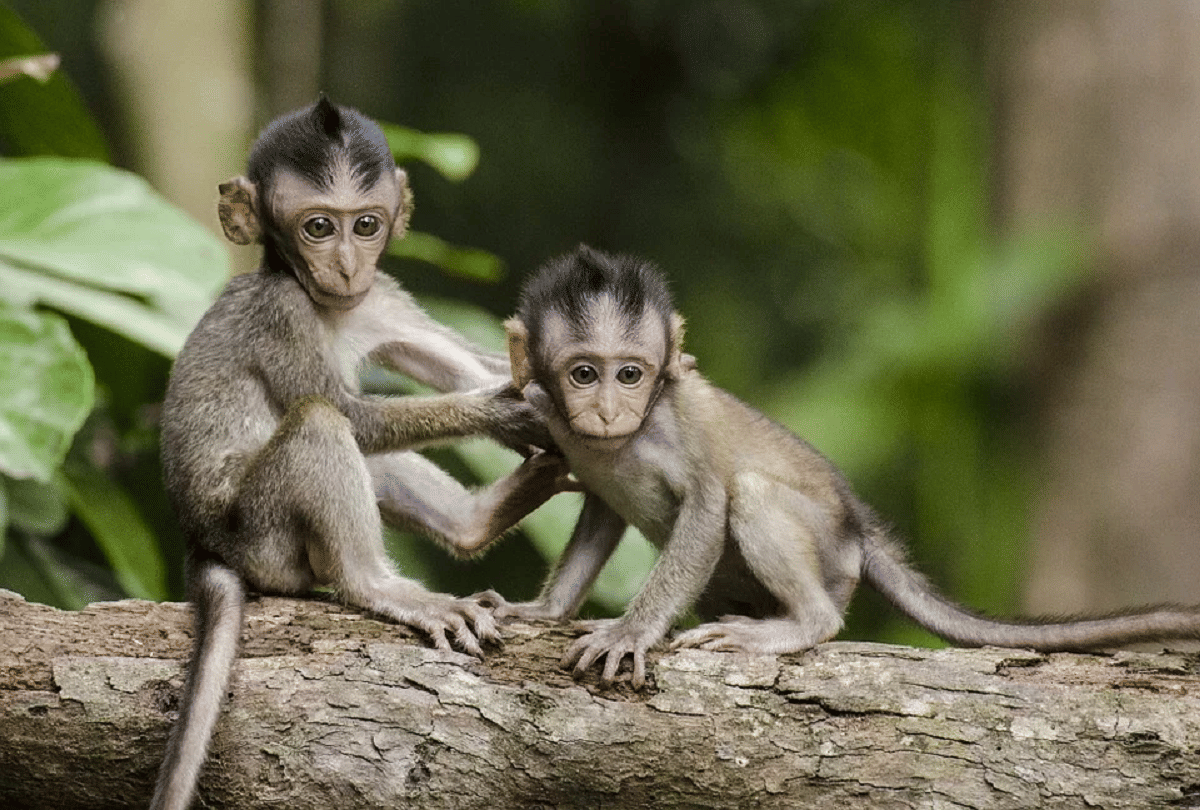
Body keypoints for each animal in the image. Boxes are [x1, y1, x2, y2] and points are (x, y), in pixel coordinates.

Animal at [150, 97, 570, 810]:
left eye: (366, 224)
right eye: (318, 227)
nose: (347, 265)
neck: (327, 305)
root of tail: (202, 543)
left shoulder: (382, 298)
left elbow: (468, 367)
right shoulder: (281, 311)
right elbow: (349, 414)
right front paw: (508, 411)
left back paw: (477, 520)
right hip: (262, 536)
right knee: (321, 425)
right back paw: (378, 585)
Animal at [479, 244, 1200, 690]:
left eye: (630, 374)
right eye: (584, 374)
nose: (607, 410)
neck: (619, 441)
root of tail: (859, 529)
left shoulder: (676, 421)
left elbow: (709, 504)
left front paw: (631, 631)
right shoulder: (555, 422)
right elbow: (601, 510)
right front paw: (543, 611)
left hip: (830, 554)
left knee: (752, 495)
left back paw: (803, 624)